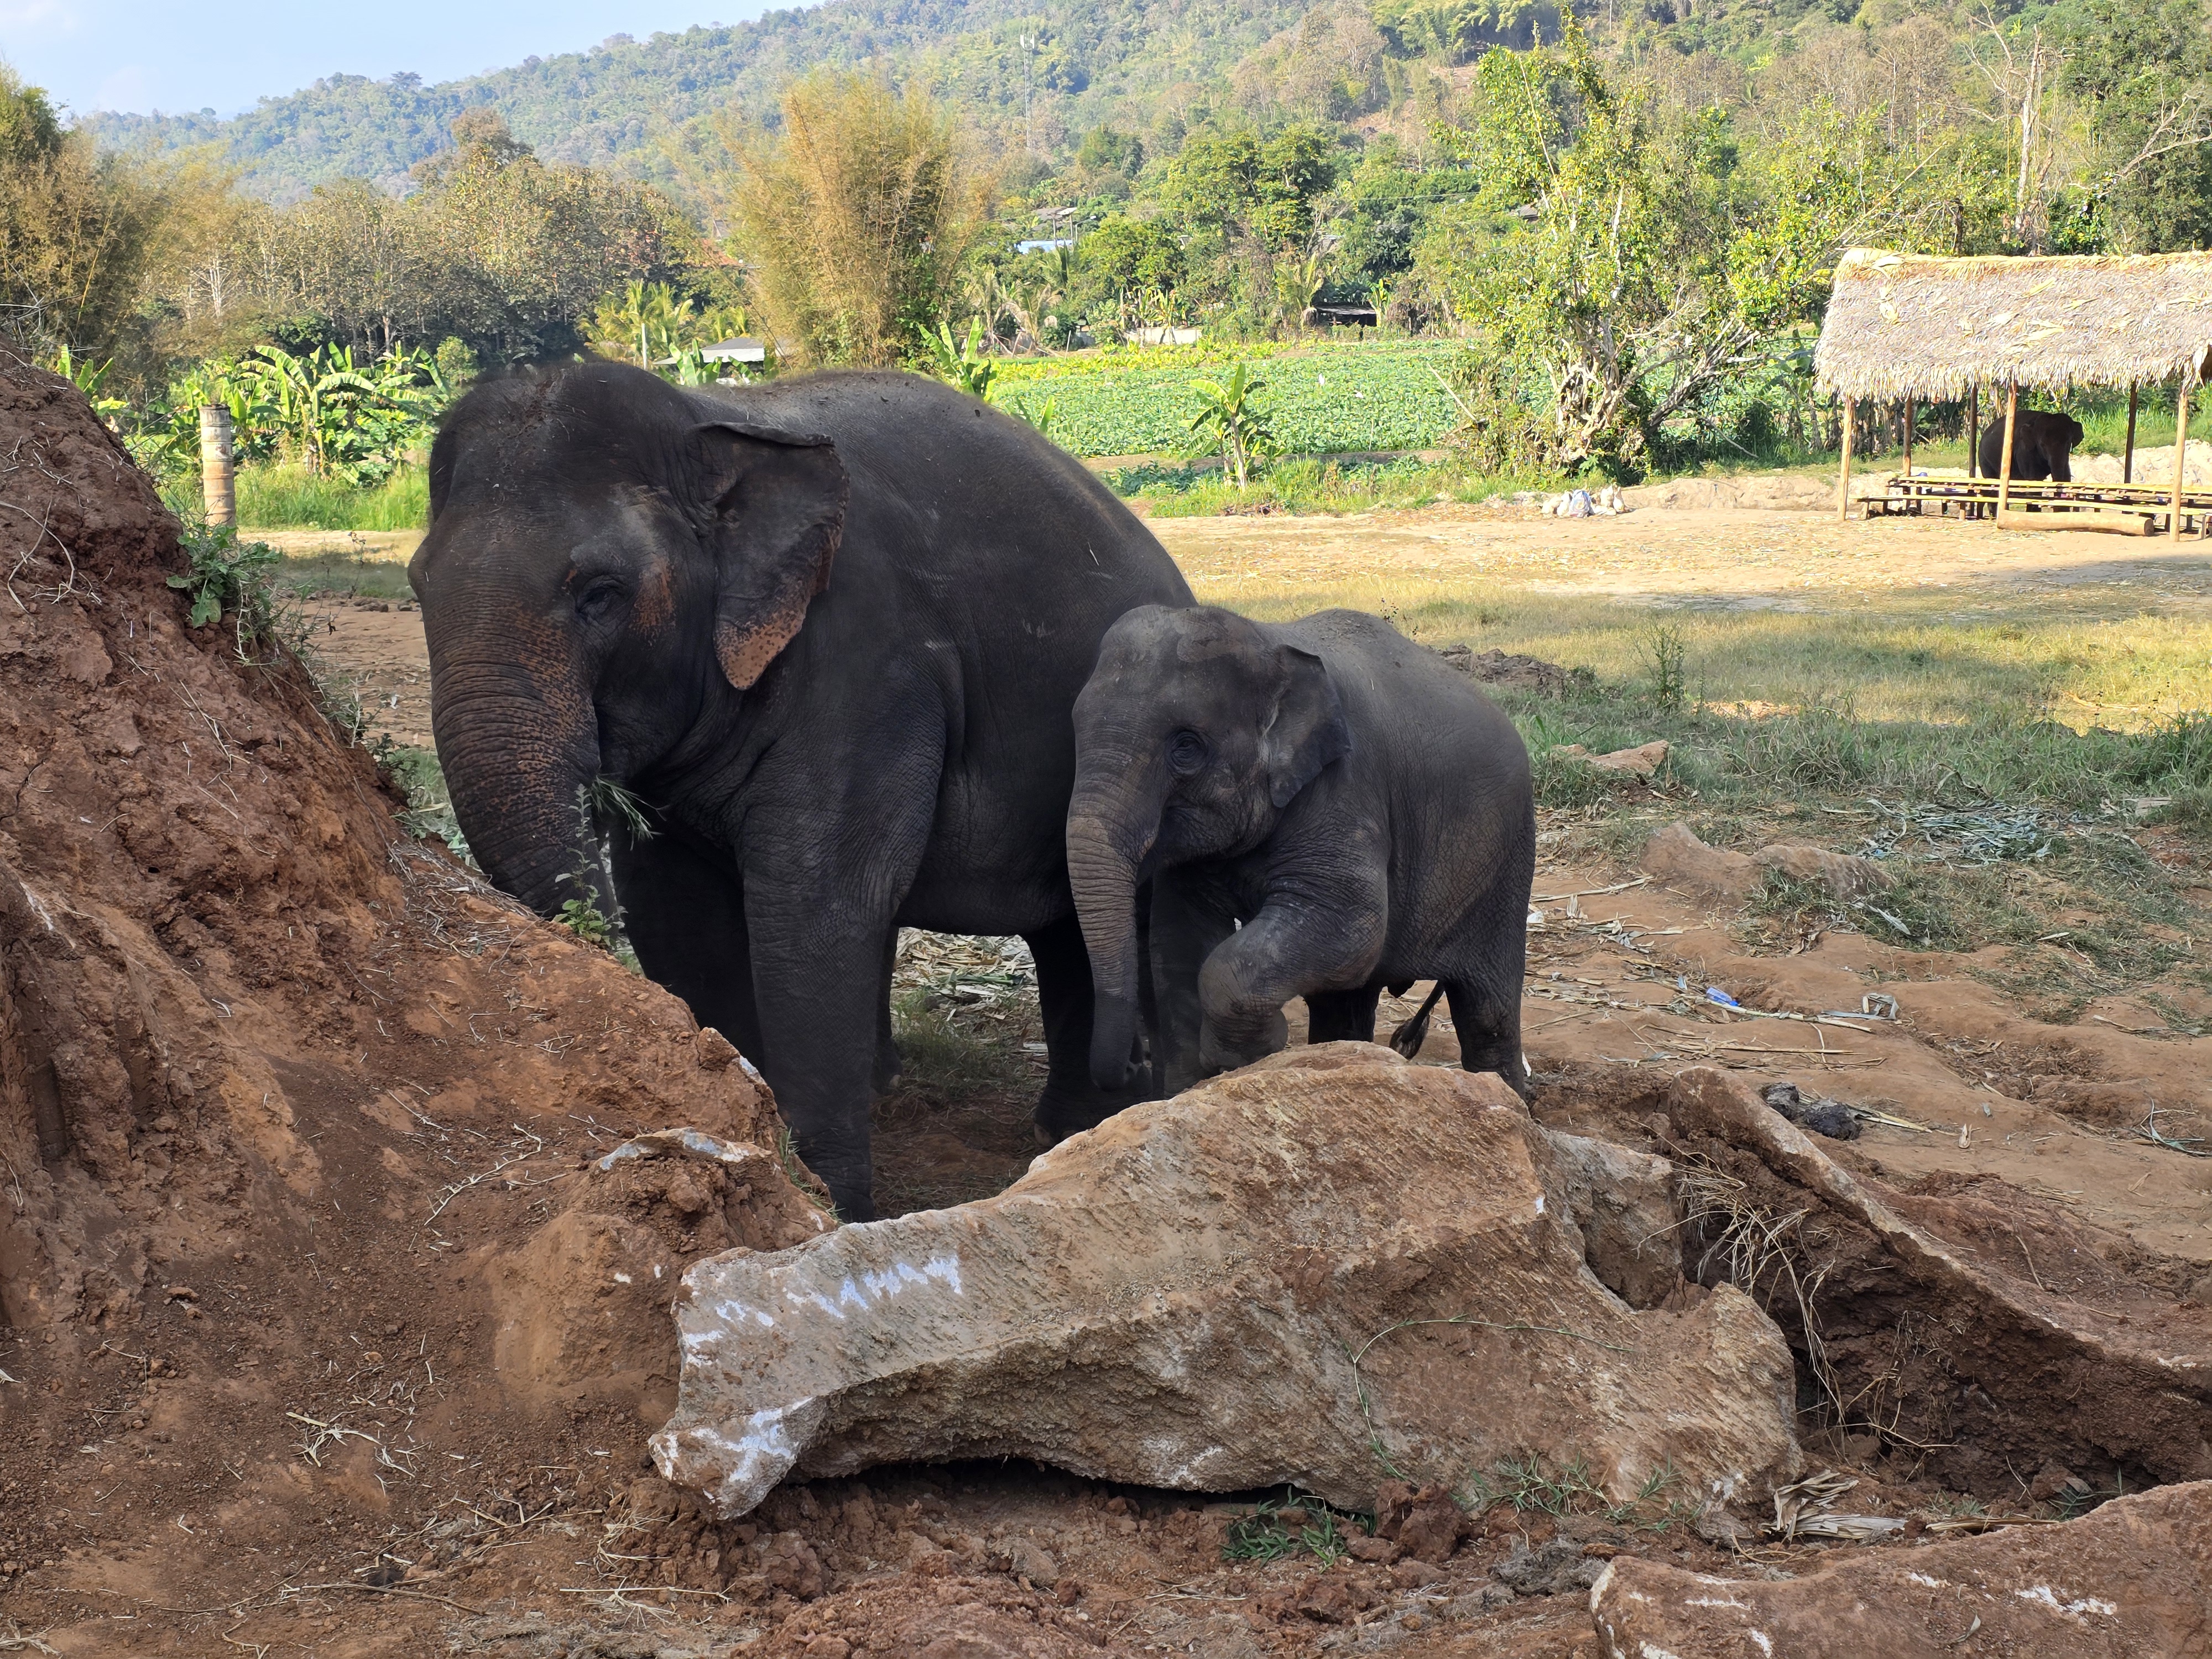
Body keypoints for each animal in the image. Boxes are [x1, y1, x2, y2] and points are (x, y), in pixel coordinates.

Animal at [409, 361, 1193, 1219]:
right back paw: (1064, 1120)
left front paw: (829, 1203)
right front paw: (751, 1132)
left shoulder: (869, 667)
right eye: (416, 586)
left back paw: (1106, 1118)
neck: (706, 424)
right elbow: (677, 908)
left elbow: (815, 903)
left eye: (601, 593)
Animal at [1066, 604, 1536, 1098]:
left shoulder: (1346, 784)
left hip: (1505, 867)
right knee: (1345, 1000)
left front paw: (1250, 1053)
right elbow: (1177, 939)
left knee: (1487, 1012)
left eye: (1186, 746)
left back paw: (1508, 1096)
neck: (1266, 639)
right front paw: (1192, 1086)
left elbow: (1352, 921)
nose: (1130, 1070)